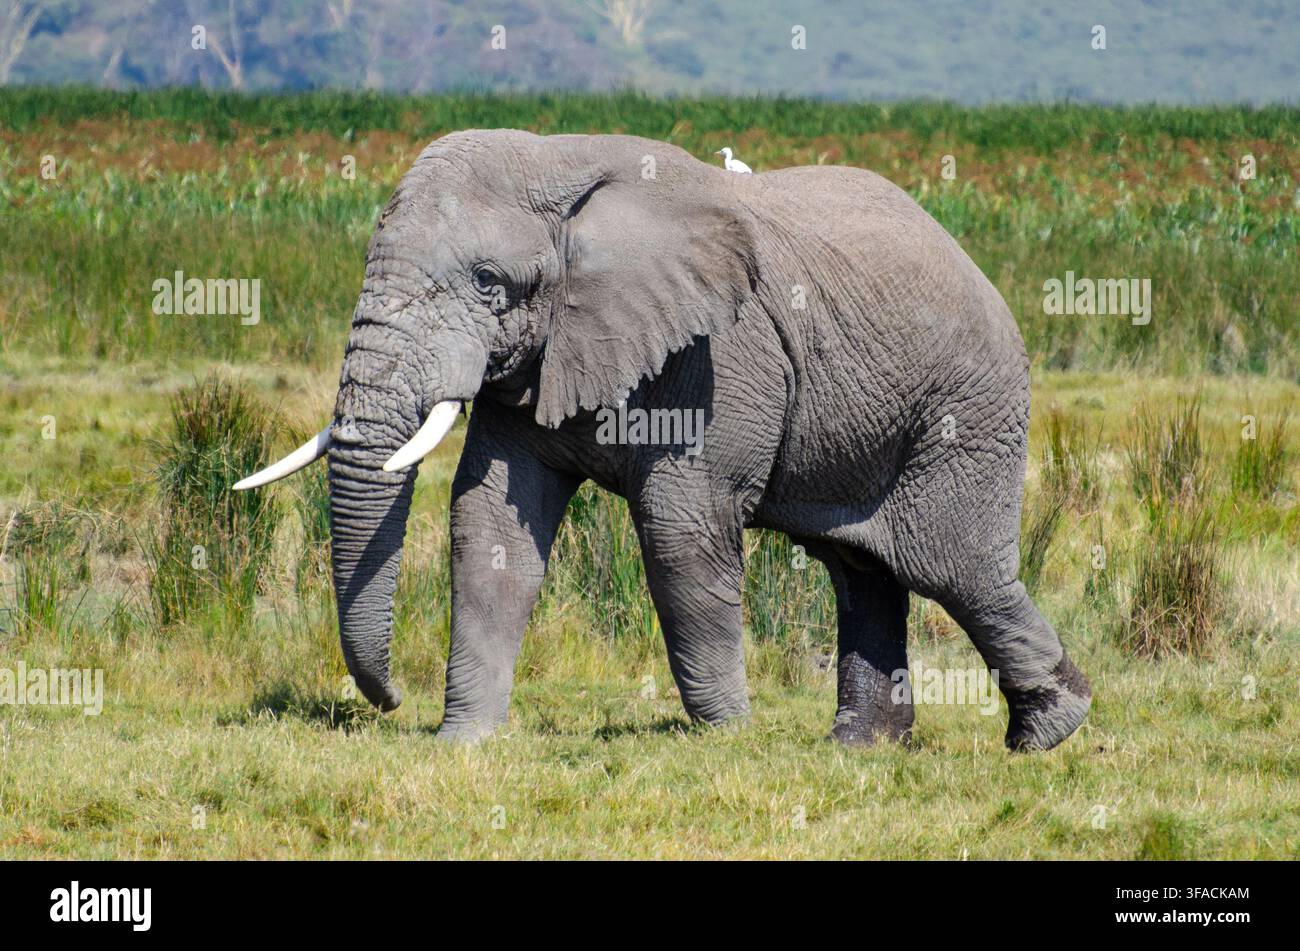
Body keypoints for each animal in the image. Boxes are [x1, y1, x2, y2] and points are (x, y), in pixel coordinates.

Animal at [236, 129, 1092, 751]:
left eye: (488, 283)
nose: (387, 702)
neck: (558, 157)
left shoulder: (721, 354)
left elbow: (680, 529)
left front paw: (729, 740)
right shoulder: (541, 354)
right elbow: (489, 523)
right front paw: (463, 743)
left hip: (964, 408)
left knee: (951, 565)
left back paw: (1048, 731)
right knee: (863, 571)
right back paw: (861, 748)